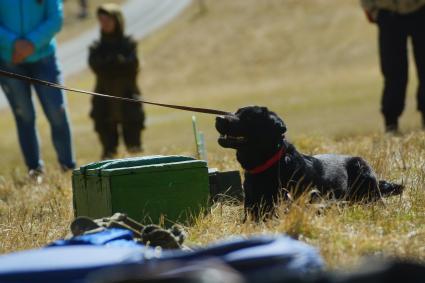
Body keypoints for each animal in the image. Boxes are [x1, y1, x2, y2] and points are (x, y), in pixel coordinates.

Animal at [215, 106, 404, 220]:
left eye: (247, 117)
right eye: (236, 112)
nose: (218, 118)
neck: (268, 165)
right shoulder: (251, 211)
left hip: (362, 169)